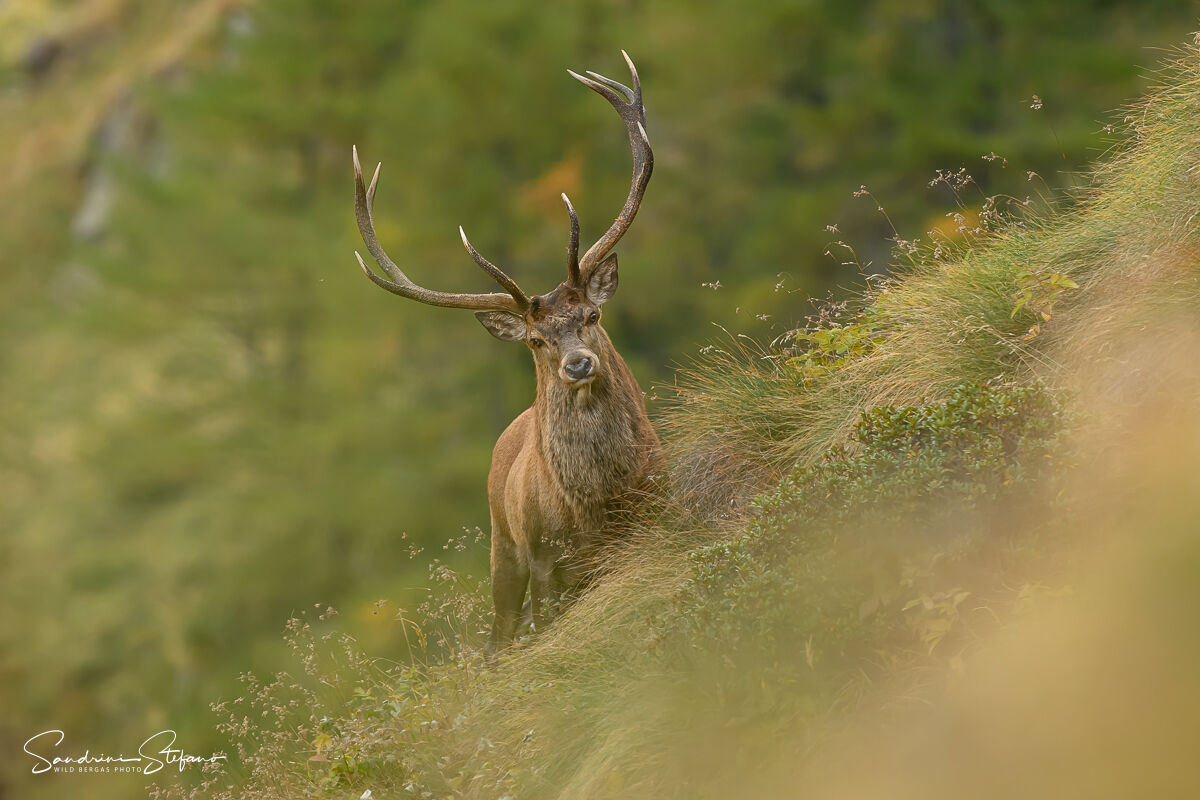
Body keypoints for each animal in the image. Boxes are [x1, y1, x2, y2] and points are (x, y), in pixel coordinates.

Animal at [351, 52, 662, 653]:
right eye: (537, 341)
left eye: (592, 316)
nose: (578, 364)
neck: (595, 506)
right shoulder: (543, 559)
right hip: (502, 549)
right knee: (497, 641)